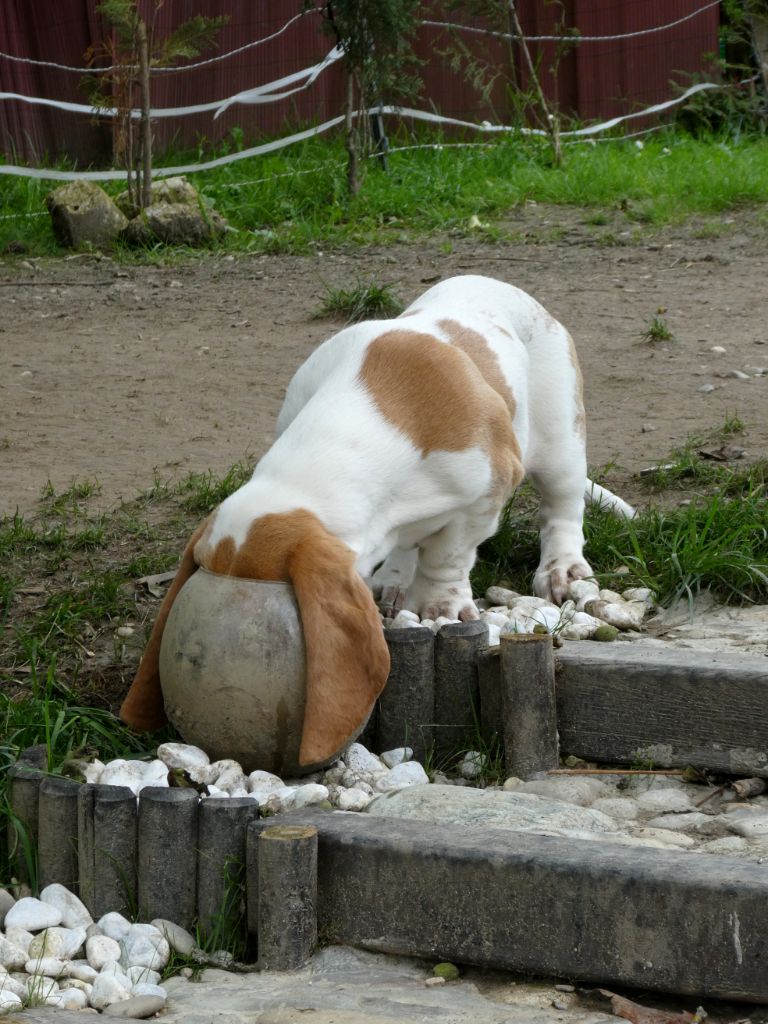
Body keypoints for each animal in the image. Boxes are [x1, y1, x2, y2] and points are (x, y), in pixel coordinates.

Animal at [120, 272, 634, 770]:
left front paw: (440, 607)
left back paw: (561, 569)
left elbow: (448, 555)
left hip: (559, 442)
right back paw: (395, 580)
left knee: (561, 509)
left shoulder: (488, 489)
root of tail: (508, 288)